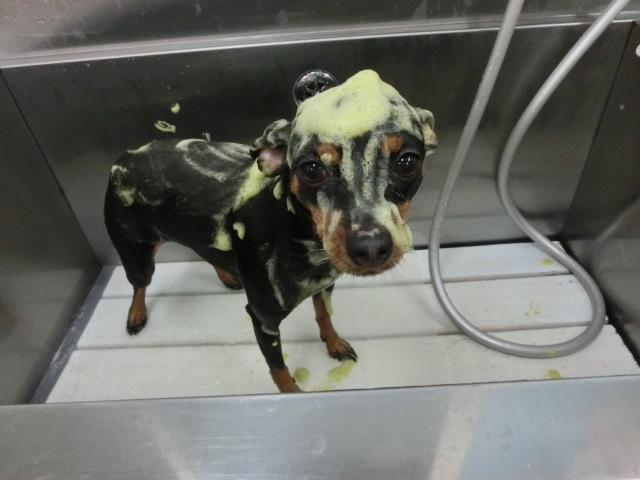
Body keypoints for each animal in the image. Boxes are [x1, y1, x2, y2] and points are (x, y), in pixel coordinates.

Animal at [104, 70, 437, 392]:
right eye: (311, 168)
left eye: (407, 162)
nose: (370, 248)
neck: (294, 229)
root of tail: (125, 157)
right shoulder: (262, 319)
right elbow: (279, 371)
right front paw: (293, 393)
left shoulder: (324, 286)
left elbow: (324, 315)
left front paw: (333, 342)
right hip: (135, 253)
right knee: (139, 285)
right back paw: (136, 313)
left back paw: (226, 275)